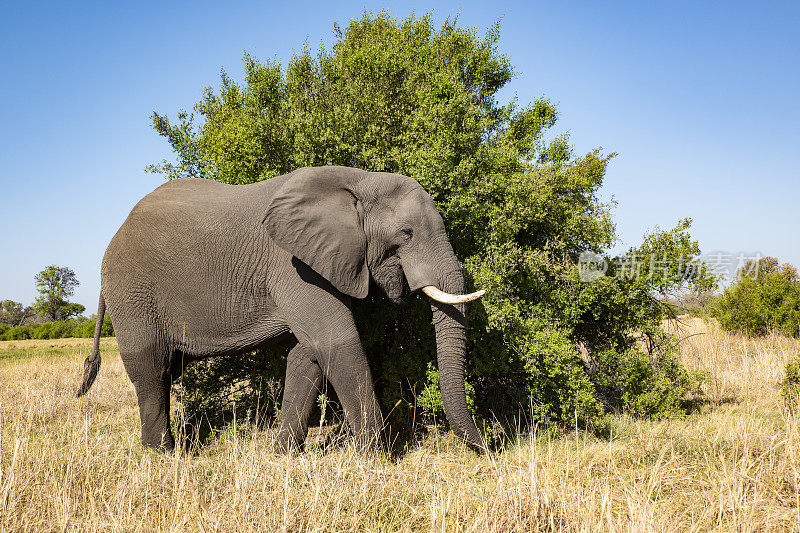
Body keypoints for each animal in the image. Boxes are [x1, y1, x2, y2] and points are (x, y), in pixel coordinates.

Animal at [76, 164, 488, 450]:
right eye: (406, 234)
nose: (488, 447)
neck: (359, 181)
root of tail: (111, 240)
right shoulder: (291, 264)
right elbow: (337, 340)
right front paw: (374, 456)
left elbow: (308, 352)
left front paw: (282, 453)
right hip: (132, 292)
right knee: (150, 369)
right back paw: (161, 455)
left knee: (164, 372)